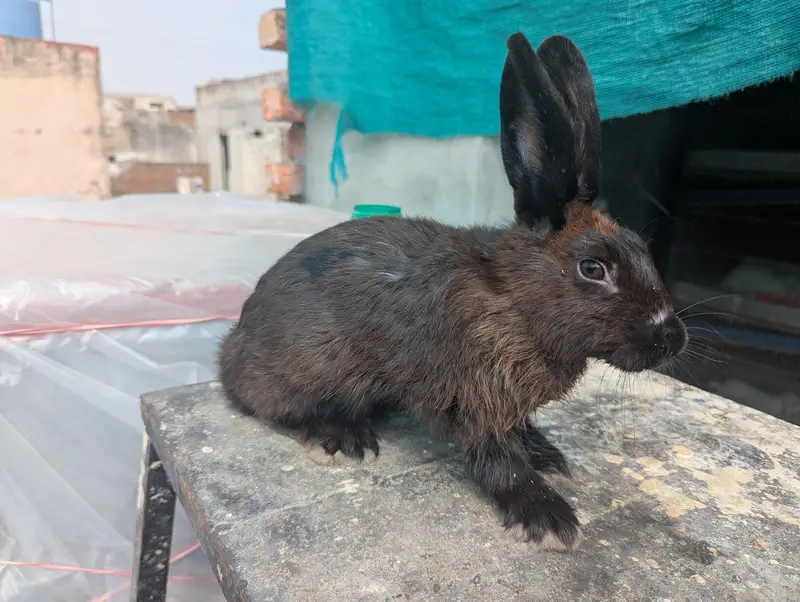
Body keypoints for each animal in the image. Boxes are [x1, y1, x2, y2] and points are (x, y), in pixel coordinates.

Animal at [218, 31, 688, 552]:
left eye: (642, 248)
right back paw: (345, 439)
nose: (672, 338)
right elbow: (499, 462)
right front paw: (548, 518)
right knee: (273, 407)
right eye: (593, 268)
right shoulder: (475, 400)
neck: (514, 303)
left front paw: (548, 455)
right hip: (306, 371)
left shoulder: (507, 406)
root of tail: (232, 345)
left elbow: (520, 435)